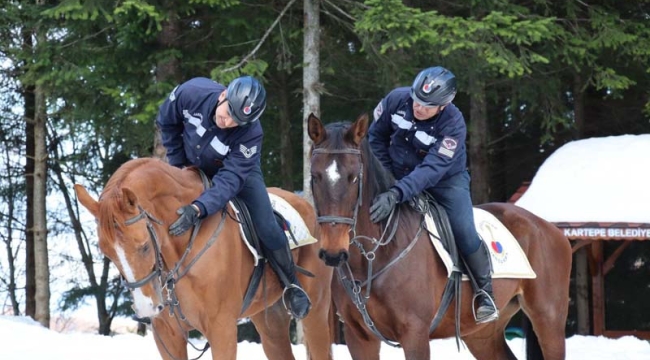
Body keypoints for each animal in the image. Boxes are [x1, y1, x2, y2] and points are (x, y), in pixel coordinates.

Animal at [73, 159, 332, 360]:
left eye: (145, 246)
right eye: (107, 253)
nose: (146, 308)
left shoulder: (222, 329)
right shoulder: (167, 336)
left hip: (316, 312)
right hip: (269, 319)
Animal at [306, 113, 568, 360]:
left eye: (353, 177)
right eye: (315, 176)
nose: (333, 253)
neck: (374, 256)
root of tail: (548, 227)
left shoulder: (415, 333)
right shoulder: (359, 338)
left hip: (548, 320)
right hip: (482, 335)